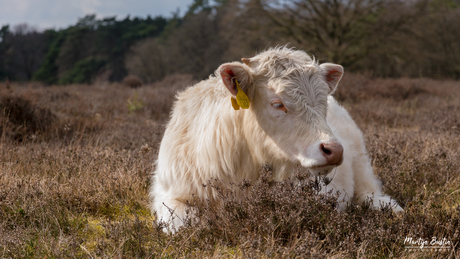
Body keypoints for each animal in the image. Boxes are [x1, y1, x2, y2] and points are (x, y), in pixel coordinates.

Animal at [152, 46, 402, 232]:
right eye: (277, 104)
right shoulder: (170, 195)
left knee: (371, 193)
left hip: (361, 164)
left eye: (323, 101)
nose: (334, 150)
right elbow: (188, 225)